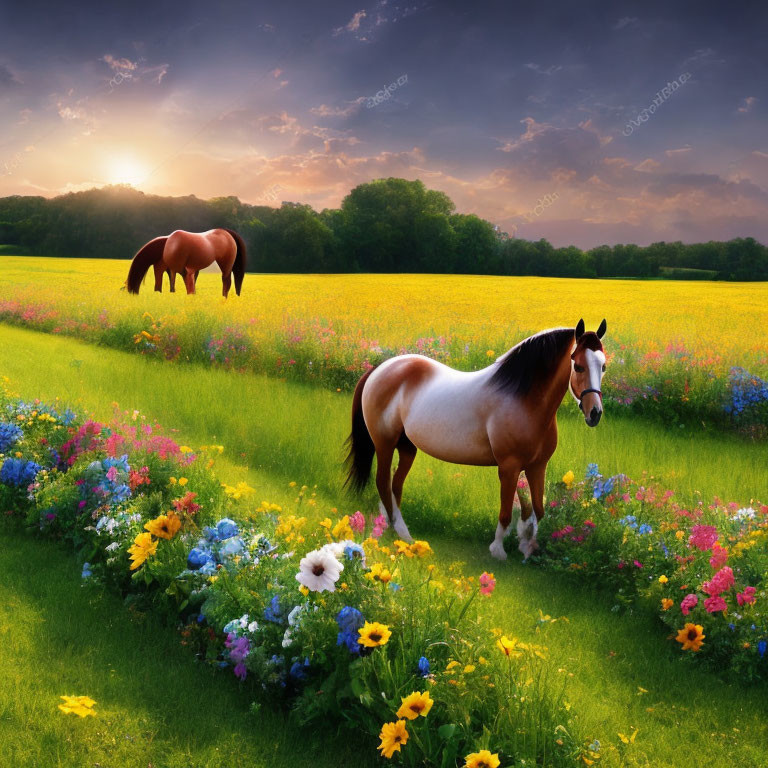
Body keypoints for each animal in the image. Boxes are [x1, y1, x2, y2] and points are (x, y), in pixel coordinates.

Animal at [346, 318, 608, 560]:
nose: (595, 414)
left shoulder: (537, 467)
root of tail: (379, 369)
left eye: (603, 366)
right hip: (384, 444)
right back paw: (400, 532)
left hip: (407, 447)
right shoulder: (509, 467)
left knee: (395, 485)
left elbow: (536, 508)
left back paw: (396, 527)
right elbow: (506, 511)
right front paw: (498, 550)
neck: (524, 399)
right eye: (578, 366)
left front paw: (527, 545)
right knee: (382, 481)